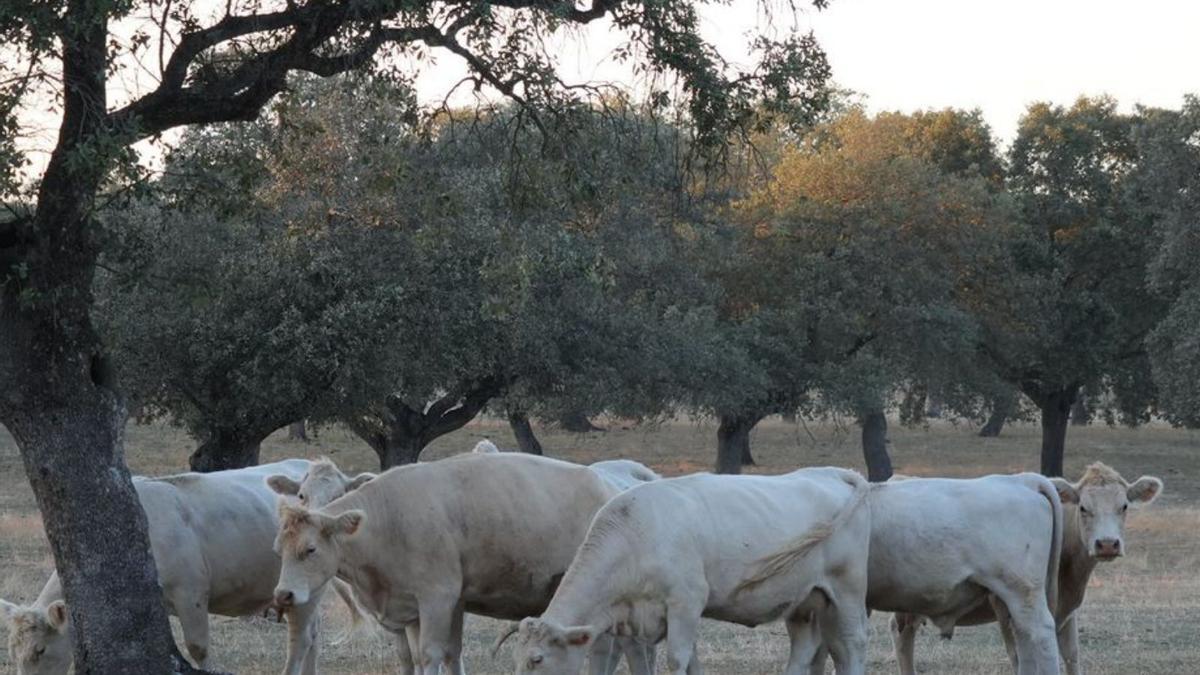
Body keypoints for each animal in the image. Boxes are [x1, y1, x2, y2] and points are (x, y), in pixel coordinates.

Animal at [0, 458, 350, 672]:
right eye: (12, 652)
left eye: (40, 650)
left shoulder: (191, 592)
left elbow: (198, 648)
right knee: (314, 635)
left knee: (300, 639)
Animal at [273, 449, 667, 672]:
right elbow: (437, 654)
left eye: (310, 550)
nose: (283, 595)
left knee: (627, 649)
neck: (388, 520)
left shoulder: (437, 597)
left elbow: (431, 655)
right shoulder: (420, 607)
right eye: (280, 548)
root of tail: (616, 487)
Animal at [501, 466, 868, 672]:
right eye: (515, 660)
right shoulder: (636, 617)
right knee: (808, 648)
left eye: (537, 659)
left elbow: (678, 659)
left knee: (852, 646)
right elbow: (676, 660)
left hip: (847, 589)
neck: (636, 534)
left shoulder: (686, 602)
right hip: (805, 601)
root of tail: (831, 473)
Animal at [892, 461, 1161, 672]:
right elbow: (1018, 657)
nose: (1106, 544)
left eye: (1124, 506)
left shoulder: (1067, 608)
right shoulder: (1005, 604)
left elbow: (1071, 654)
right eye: (1084, 507)